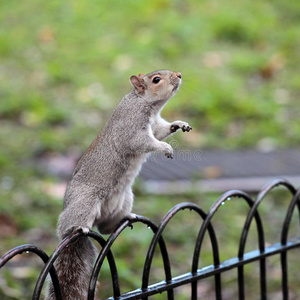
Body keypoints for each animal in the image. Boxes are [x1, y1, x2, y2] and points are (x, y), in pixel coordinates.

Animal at [46, 70, 192, 300]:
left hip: (124, 199)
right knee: (70, 224)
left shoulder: (155, 126)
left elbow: (162, 130)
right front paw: (165, 147)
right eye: (156, 79)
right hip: (85, 202)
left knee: (105, 229)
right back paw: (76, 227)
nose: (178, 74)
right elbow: (144, 142)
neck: (146, 105)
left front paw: (179, 124)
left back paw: (125, 219)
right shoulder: (131, 129)